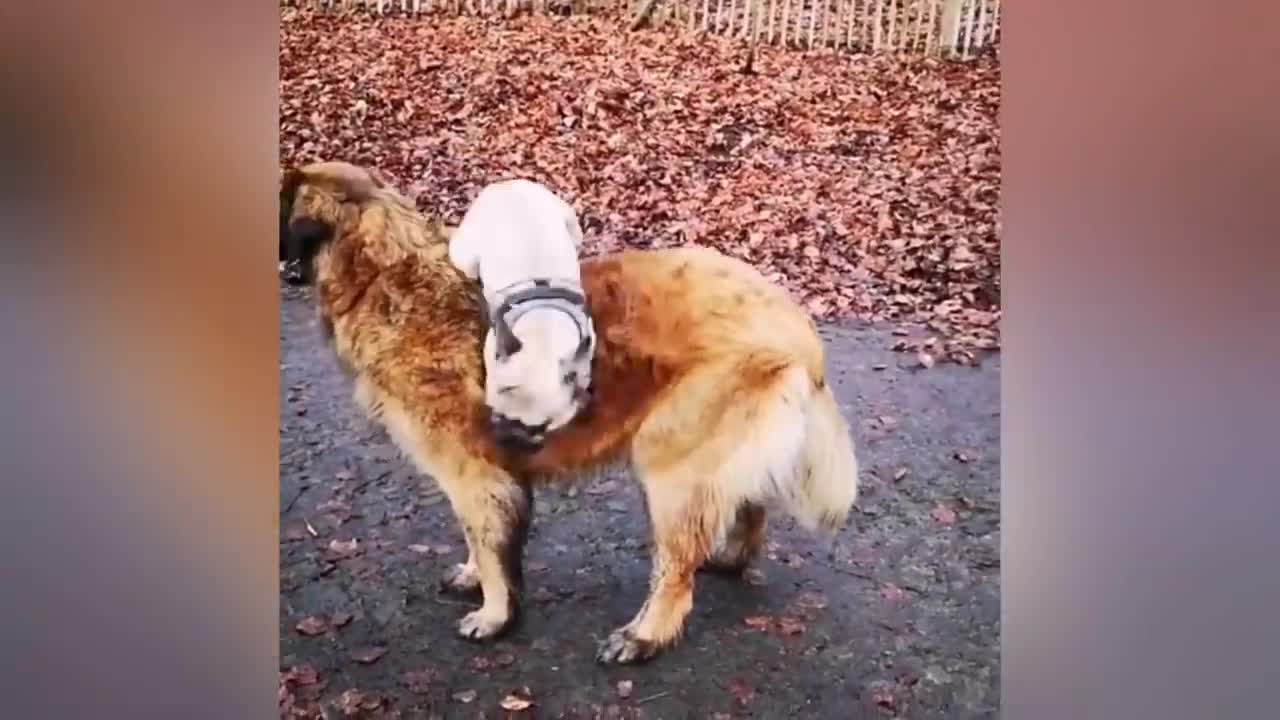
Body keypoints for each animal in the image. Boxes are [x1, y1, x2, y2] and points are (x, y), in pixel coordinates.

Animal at [448, 179, 596, 448]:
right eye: (494, 412)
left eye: (541, 427)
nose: (509, 436)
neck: (543, 331)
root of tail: (505, 185)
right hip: (467, 259)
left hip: (571, 226)